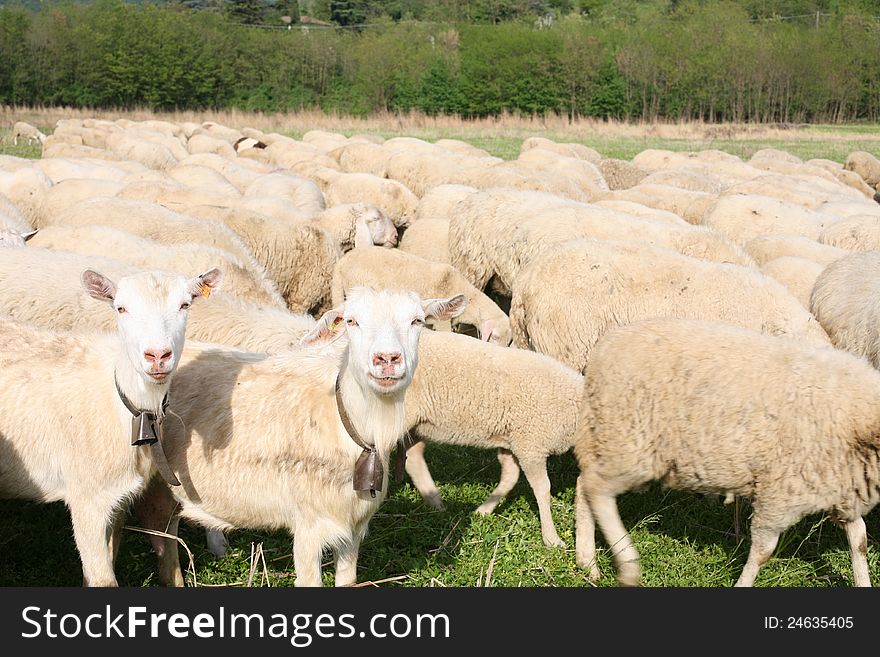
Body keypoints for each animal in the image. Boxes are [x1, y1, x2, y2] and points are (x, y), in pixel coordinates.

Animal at [0, 266, 222, 584]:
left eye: (185, 305)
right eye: (121, 308)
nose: (157, 356)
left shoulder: (117, 496)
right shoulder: (86, 498)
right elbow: (104, 578)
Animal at [136, 288, 468, 584]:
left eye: (417, 321)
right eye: (352, 321)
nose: (387, 359)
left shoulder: (352, 526)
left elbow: (347, 580)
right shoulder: (310, 525)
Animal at [576, 318, 880, 584]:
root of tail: (605, 346)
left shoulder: (843, 487)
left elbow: (860, 540)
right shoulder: (778, 494)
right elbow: (763, 552)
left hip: (614, 438)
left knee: (584, 484)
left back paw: (587, 561)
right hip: (630, 441)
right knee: (596, 488)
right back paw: (626, 565)